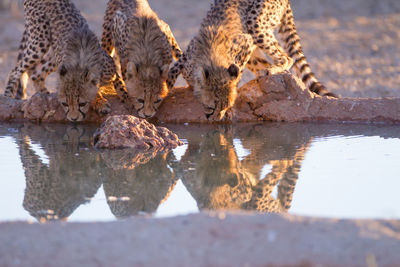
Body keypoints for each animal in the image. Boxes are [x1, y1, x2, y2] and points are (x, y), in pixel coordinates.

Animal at [167, 0, 336, 121]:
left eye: (221, 107)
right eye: (211, 107)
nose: (215, 118)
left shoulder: (245, 43)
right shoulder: (184, 60)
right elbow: (169, 78)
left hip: (255, 24)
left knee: (287, 58)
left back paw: (272, 70)